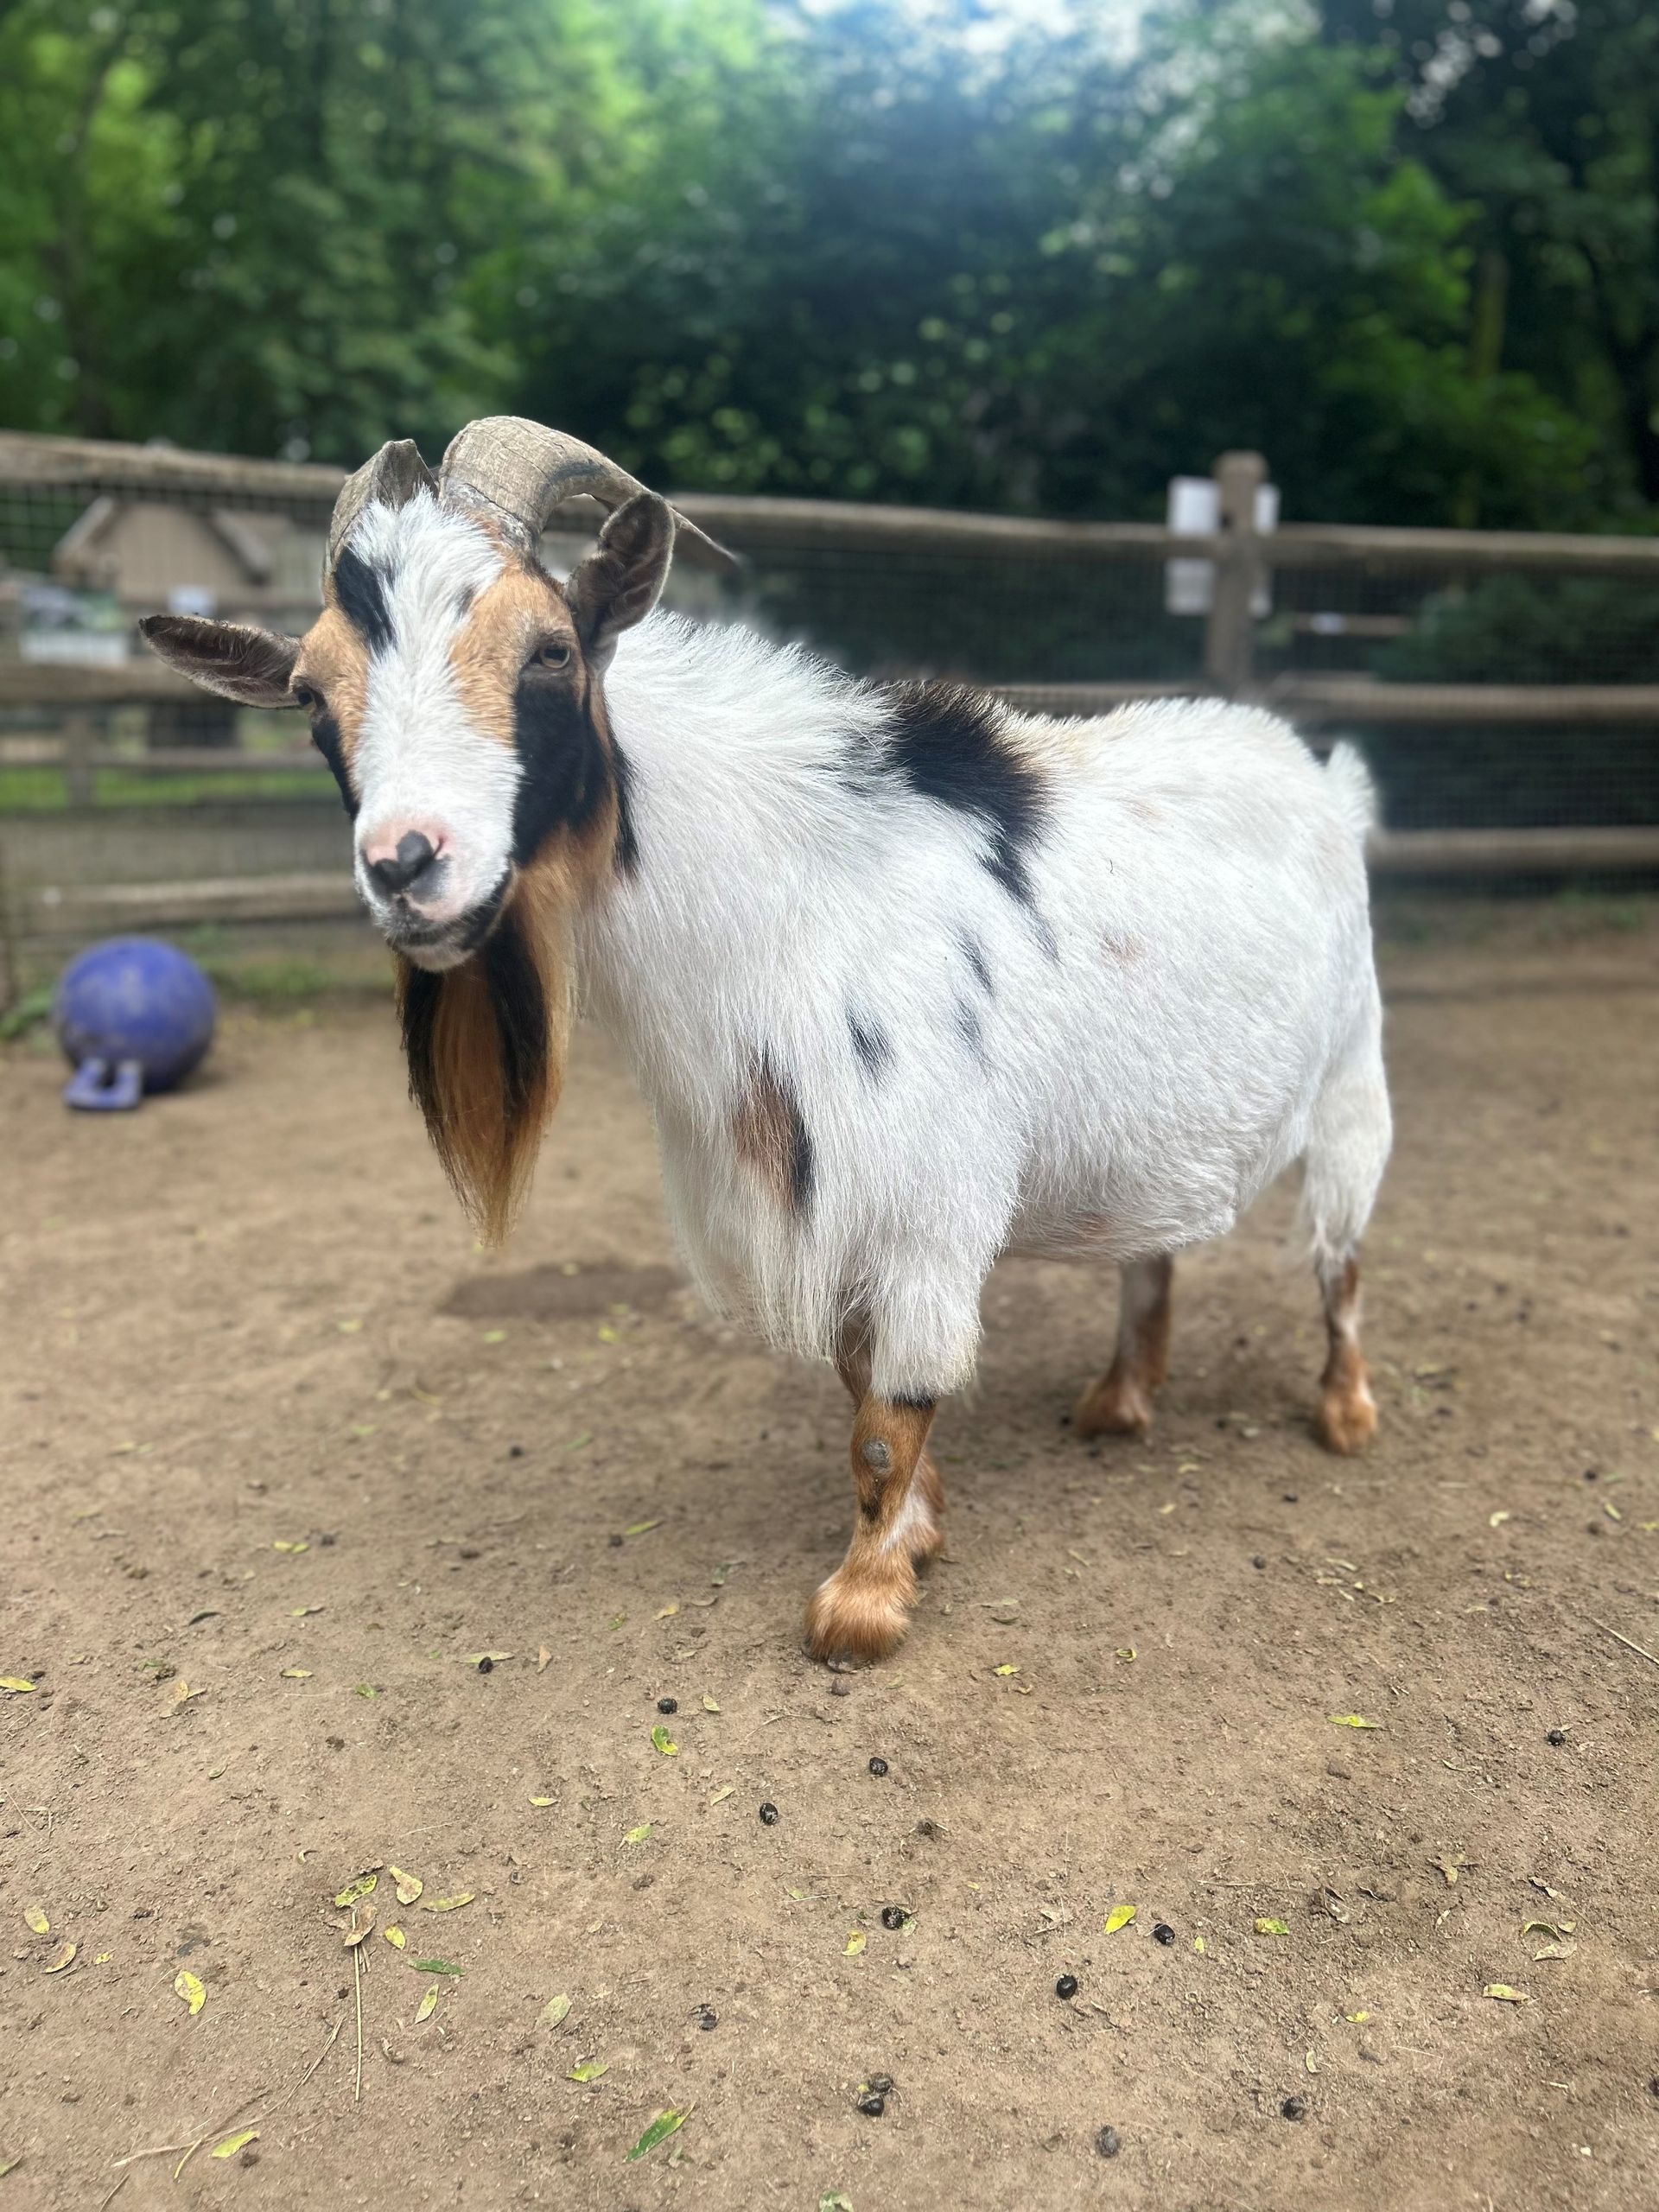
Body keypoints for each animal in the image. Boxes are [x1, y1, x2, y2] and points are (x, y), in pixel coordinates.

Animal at [142, 417, 1392, 1665]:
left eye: (548, 649)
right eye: (311, 694)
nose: (407, 864)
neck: (794, 904)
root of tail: (1321, 772)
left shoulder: (925, 1202)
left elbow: (889, 1416)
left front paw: (863, 1603)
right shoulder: (815, 1196)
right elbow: (857, 1388)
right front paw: (920, 1534)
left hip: (1351, 1079)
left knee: (1342, 1261)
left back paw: (1345, 1414)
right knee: (1153, 1252)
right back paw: (1119, 1402)